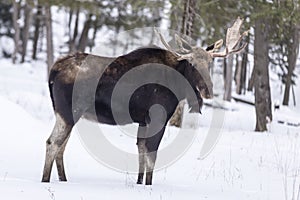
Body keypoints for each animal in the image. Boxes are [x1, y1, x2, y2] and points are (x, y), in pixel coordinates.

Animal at [42, 18, 248, 185]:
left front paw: (139, 183)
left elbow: (141, 152)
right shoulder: (158, 118)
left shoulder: (143, 120)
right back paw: (46, 181)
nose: (207, 90)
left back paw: (64, 180)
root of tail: (54, 69)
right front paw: (148, 185)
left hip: (67, 113)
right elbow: (152, 155)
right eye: (192, 64)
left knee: (61, 146)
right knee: (53, 143)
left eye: (210, 63)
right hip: (68, 112)